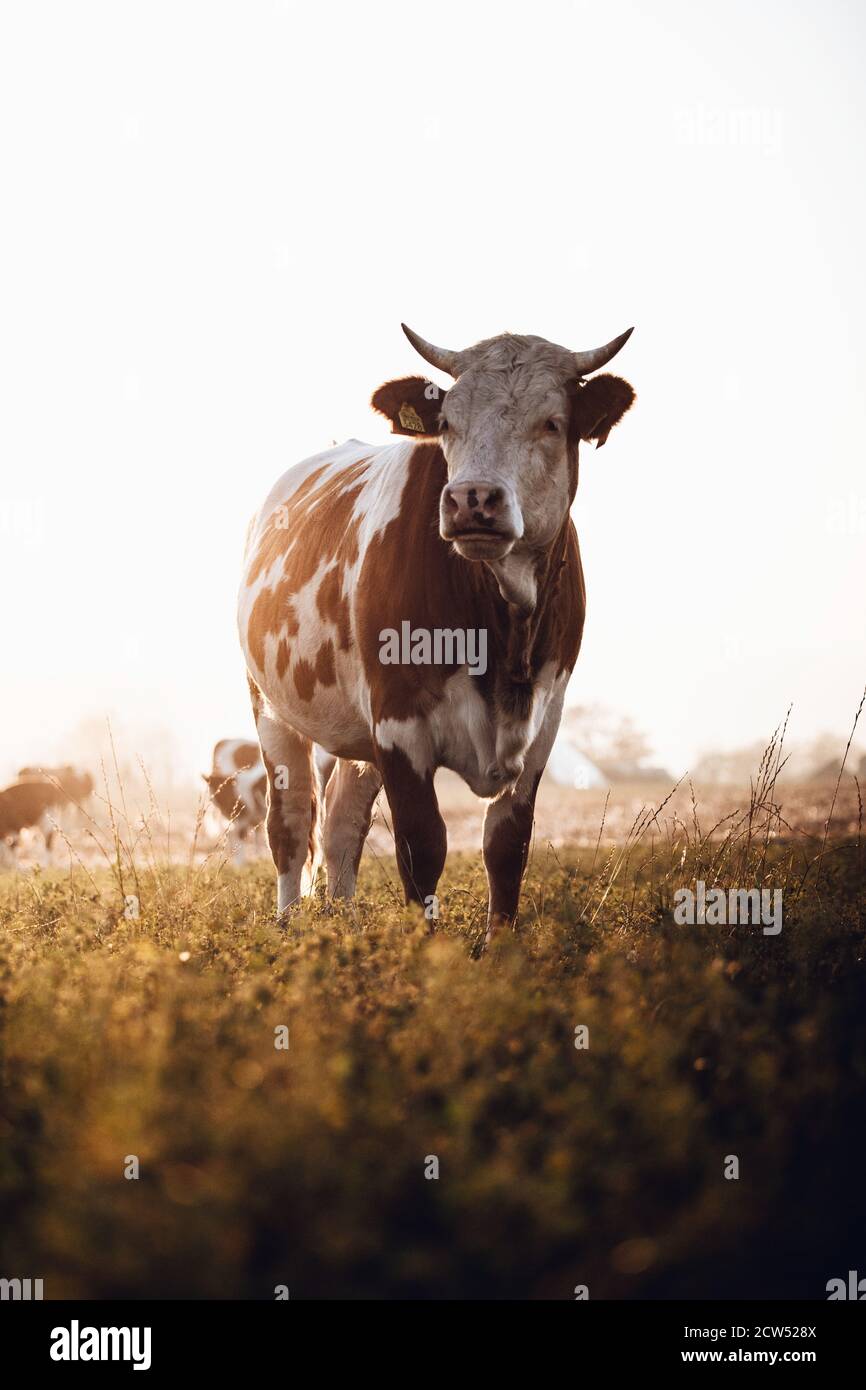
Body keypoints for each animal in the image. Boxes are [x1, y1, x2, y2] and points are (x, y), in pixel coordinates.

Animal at [238, 323, 635, 942]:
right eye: (447, 421)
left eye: (552, 422)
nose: (473, 498)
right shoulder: (399, 723)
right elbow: (421, 847)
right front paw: (426, 949)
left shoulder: (544, 721)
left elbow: (507, 847)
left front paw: (500, 948)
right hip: (272, 707)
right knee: (293, 823)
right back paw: (292, 928)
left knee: (342, 825)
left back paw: (344, 927)